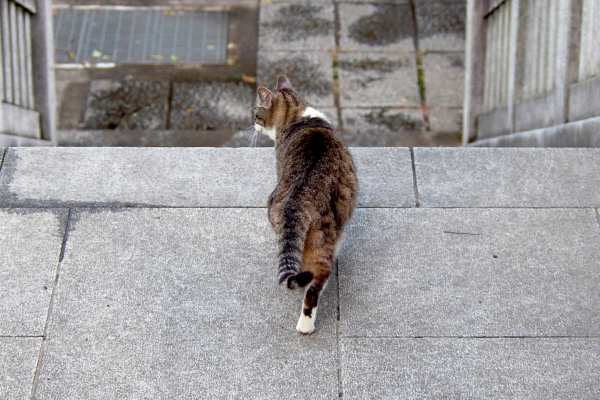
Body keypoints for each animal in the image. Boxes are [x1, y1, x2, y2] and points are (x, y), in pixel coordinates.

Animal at [253, 75, 356, 334]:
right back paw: (306, 325)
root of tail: (296, 203)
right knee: (316, 283)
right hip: (324, 243)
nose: (253, 123)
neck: (299, 115)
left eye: (256, 113)